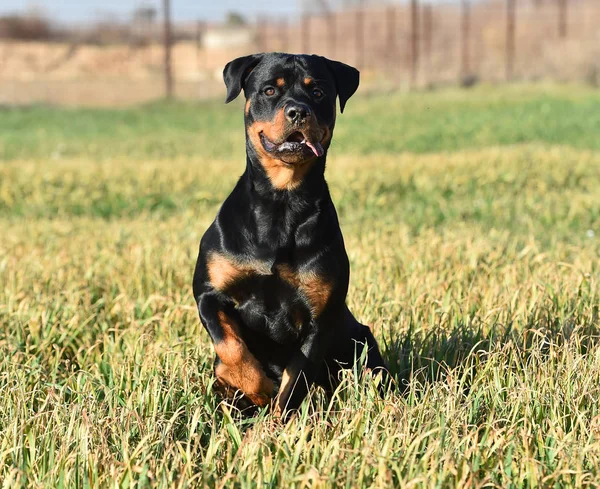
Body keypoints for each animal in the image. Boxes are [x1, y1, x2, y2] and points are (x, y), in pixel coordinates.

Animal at [193, 51, 390, 416]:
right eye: (270, 90)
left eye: (318, 92)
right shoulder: (209, 293)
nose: (298, 110)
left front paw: (275, 420)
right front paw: (252, 387)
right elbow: (232, 348)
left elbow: (294, 383)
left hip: (360, 339)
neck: (281, 202)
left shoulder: (319, 318)